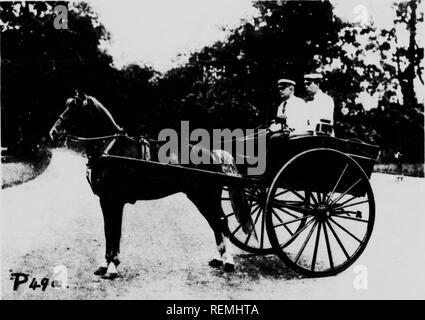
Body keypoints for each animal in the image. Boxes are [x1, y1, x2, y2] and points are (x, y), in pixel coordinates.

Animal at [49, 91, 255, 278]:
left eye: (74, 108)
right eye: (66, 105)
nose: (54, 132)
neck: (111, 149)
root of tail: (212, 153)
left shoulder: (113, 200)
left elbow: (113, 231)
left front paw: (112, 266)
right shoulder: (107, 201)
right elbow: (109, 231)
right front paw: (104, 265)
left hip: (204, 197)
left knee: (220, 221)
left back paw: (228, 262)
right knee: (215, 223)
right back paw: (219, 259)